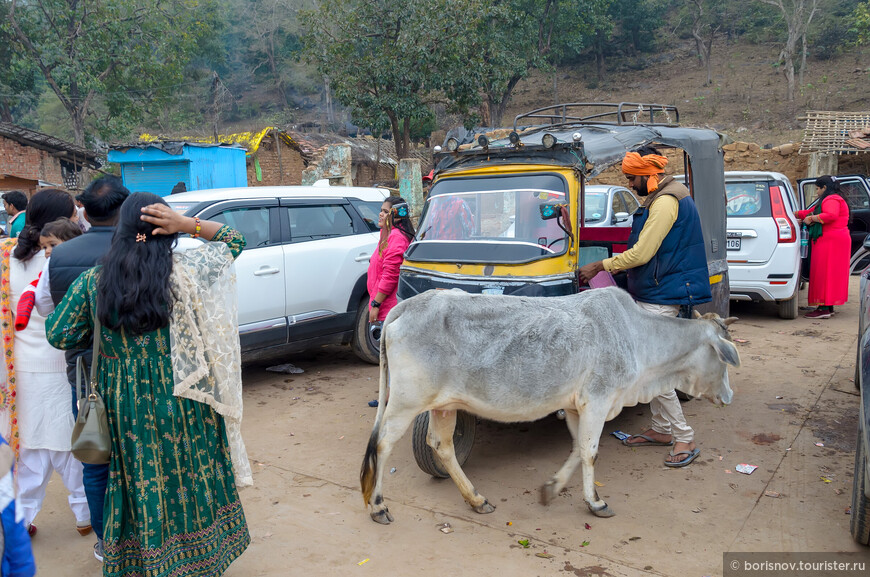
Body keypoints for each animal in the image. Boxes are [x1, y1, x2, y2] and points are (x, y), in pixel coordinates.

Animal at [358, 286, 740, 524]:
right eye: (723, 360)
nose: (728, 396)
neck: (636, 335)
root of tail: (405, 306)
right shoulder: (598, 400)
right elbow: (590, 452)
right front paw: (596, 502)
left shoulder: (575, 406)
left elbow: (577, 449)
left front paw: (551, 489)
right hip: (406, 402)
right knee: (383, 444)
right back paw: (378, 507)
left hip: (443, 405)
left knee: (441, 445)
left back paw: (477, 500)